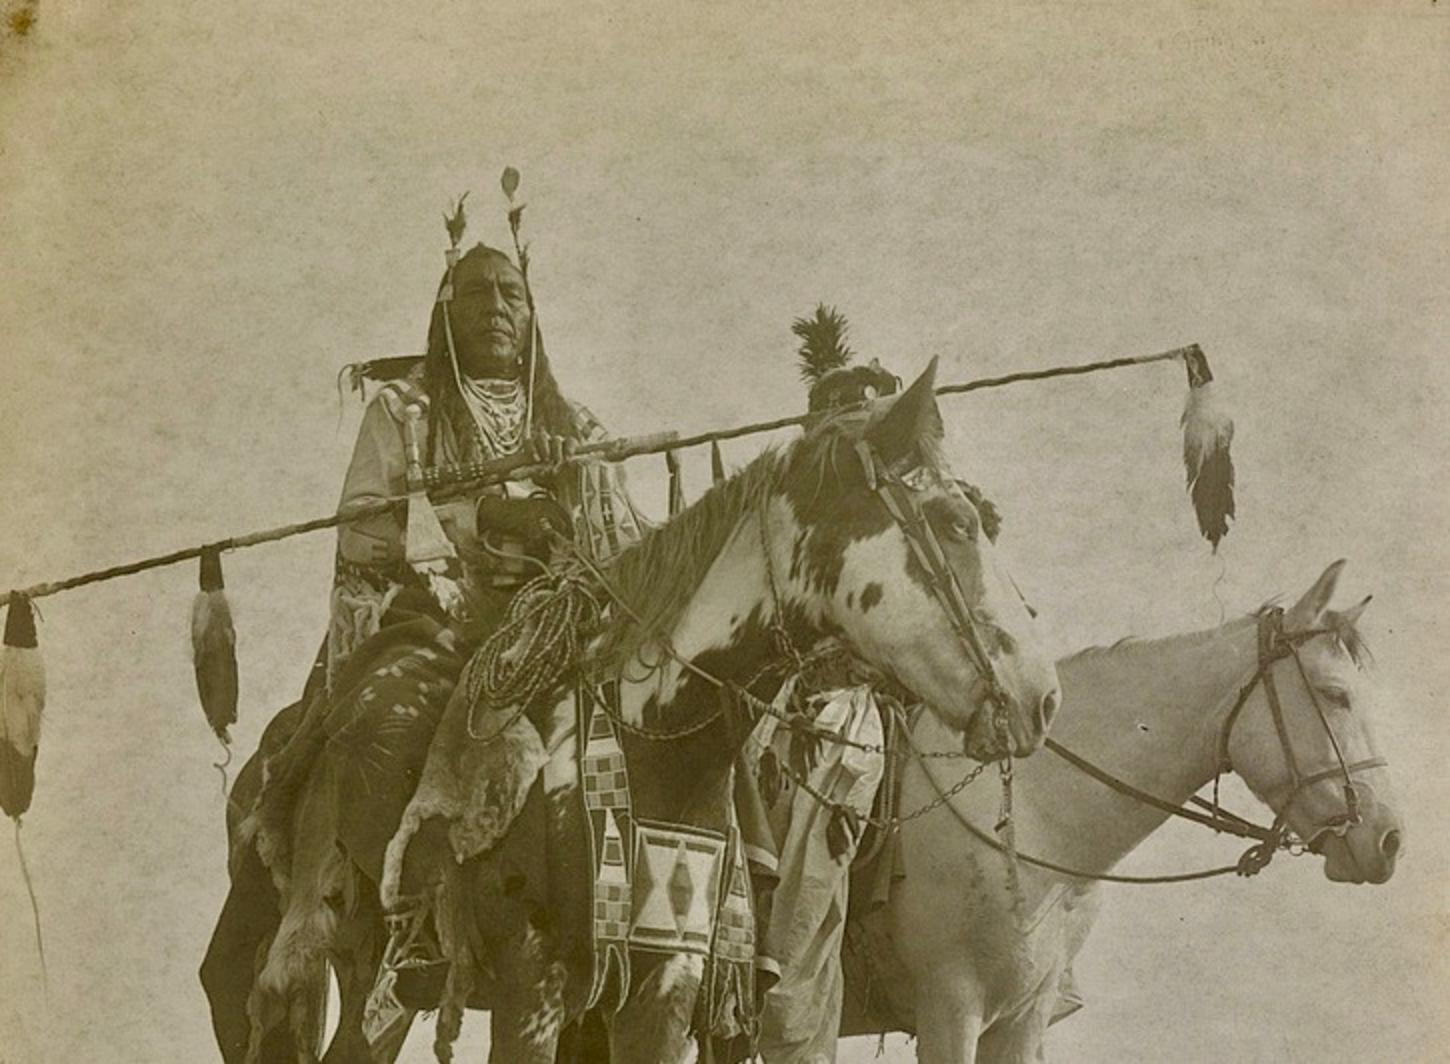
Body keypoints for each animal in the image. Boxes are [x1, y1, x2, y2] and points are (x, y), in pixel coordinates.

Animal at [204, 362, 1061, 1061]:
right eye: (954, 523)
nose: (1040, 696)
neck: (654, 746)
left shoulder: (664, 988)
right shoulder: (532, 982)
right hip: (338, 955)